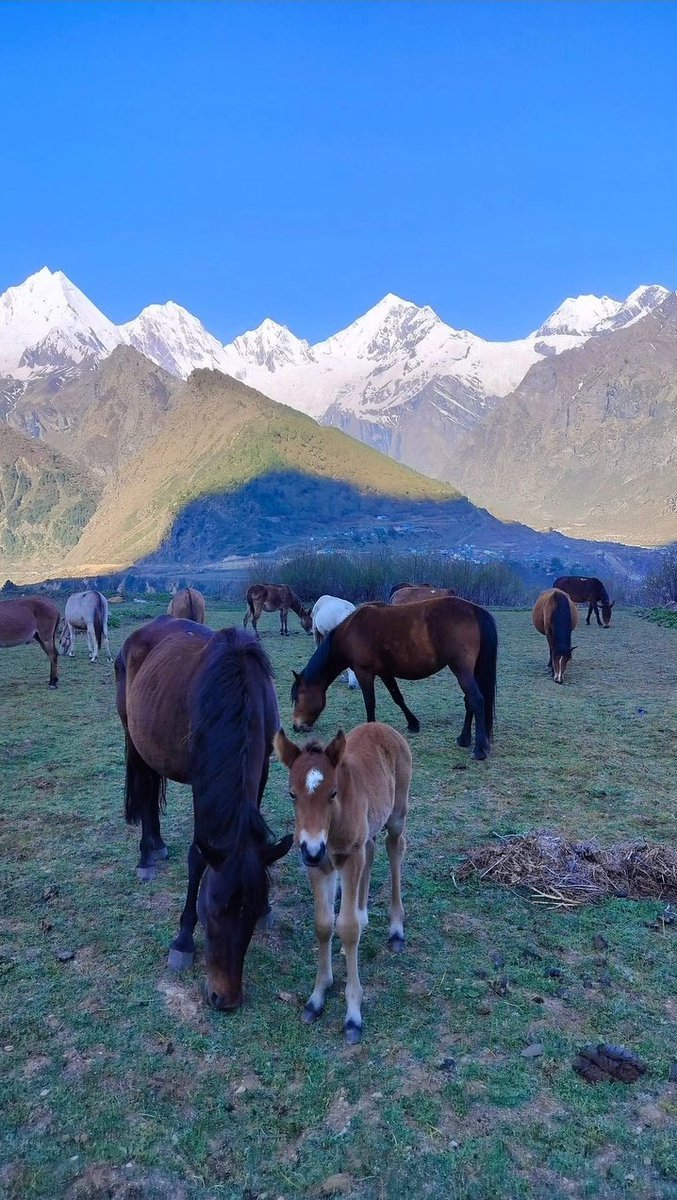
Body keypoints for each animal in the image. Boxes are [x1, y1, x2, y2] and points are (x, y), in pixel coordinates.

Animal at [114, 614, 294, 1008]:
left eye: (250, 913)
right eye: (211, 910)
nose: (225, 998)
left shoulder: (261, 769)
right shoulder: (202, 778)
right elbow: (198, 855)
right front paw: (183, 939)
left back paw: (158, 845)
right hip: (133, 736)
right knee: (145, 789)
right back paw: (147, 855)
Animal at [274, 720, 412, 1041]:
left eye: (333, 792)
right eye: (292, 794)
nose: (312, 848)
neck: (331, 827)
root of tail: (383, 727)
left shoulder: (348, 857)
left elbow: (346, 928)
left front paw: (353, 1015)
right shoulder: (318, 865)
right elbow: (324, 924)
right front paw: (317, 996)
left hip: (397, 814)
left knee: (394, 848)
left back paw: (396, 929)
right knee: (371, 849)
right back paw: (363, 914)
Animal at [290, 597, 496, 758]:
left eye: (297, 698)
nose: (296, 727)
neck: (349, 631)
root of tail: (474, 609)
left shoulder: (364, 672)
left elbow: (370, 702)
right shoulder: (385, 672)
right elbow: (397, 696)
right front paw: (413, 723)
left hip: (461, 669)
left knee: (476, 699)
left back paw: (479, 749)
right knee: (469, 700)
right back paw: (464, 739)